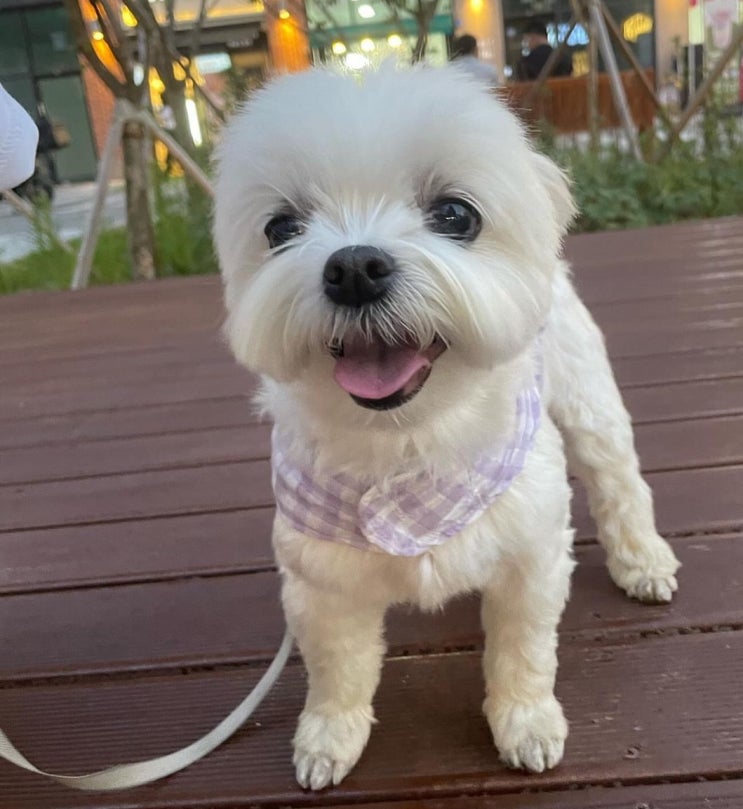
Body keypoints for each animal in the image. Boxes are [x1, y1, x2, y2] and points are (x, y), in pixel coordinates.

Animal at [213, 65, 680, 791]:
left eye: (455, 215)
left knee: (619, 482)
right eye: (280, 226)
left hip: (588, 404)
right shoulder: (320, 583)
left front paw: (525, 723)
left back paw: (644, 562)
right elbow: (338, 669)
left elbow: (523, 650)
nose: (354, 266)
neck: (409, 442)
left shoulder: (530, 554)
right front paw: (330, 737)